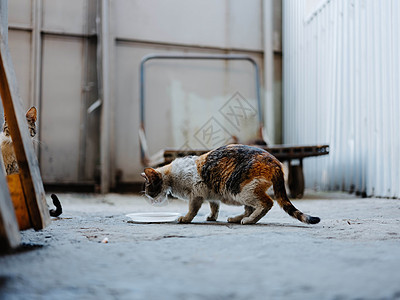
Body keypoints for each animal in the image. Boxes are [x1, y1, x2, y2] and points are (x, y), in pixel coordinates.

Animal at [142, 144, 320, 224]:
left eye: (148, 189)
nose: (149, 200)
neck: (172, 176)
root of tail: (275, 162)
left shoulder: (196, 194)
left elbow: (192, 210)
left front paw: (185, 219)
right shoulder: (211, 194)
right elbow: (214, 206)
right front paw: (212, 217)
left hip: (241, 189)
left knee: (266, 203)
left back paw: (249, 221)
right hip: (242, 192)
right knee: (250, 208)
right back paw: (236, 218)